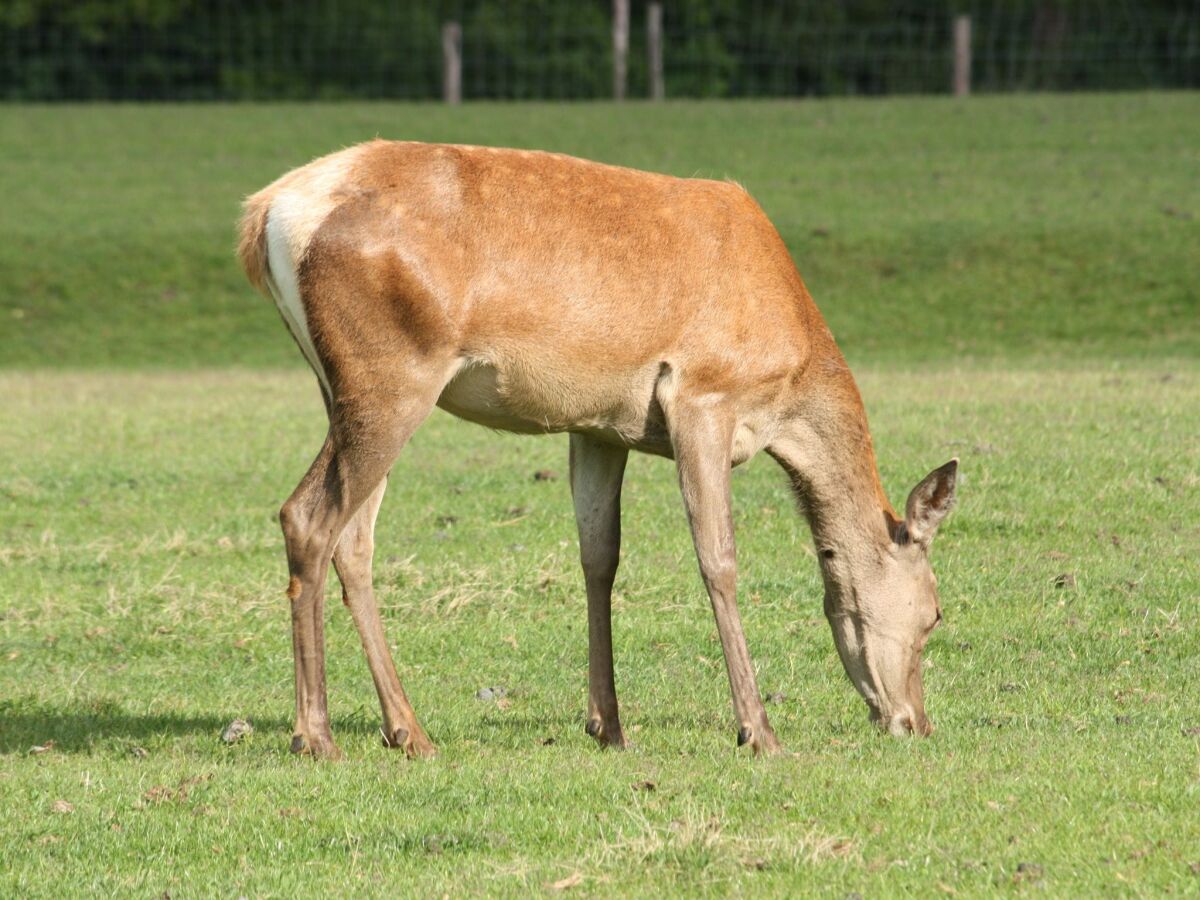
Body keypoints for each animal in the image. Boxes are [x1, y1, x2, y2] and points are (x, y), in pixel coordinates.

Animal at [236, 141, 955, 763]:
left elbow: (599, 556)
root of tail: (266, 215)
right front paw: (758, 731)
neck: (789, 383)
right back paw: (316, 735)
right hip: (391, 373)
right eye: (935, 613)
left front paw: (608, 726)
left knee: (355, 539)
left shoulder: (600, 426)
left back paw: (407, 731)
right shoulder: (704, 395)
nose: (915, 723)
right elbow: (717, 560)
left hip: (341, 387)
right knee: (307, 516)